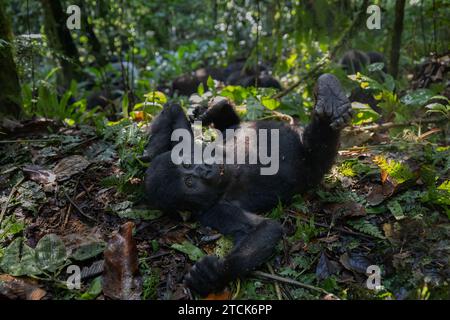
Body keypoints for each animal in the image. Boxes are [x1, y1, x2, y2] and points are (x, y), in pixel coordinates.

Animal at [142, 74, 354, 296]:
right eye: (189, 182)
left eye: (189, 163)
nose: (205, 170)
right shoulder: (214, 211)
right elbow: (264, 229)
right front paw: (216, 274)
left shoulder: (188, 145)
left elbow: (174, 113)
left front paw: (151, 149)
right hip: (312, 167)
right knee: (317, 149)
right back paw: (331, 108)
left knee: (231, 122)